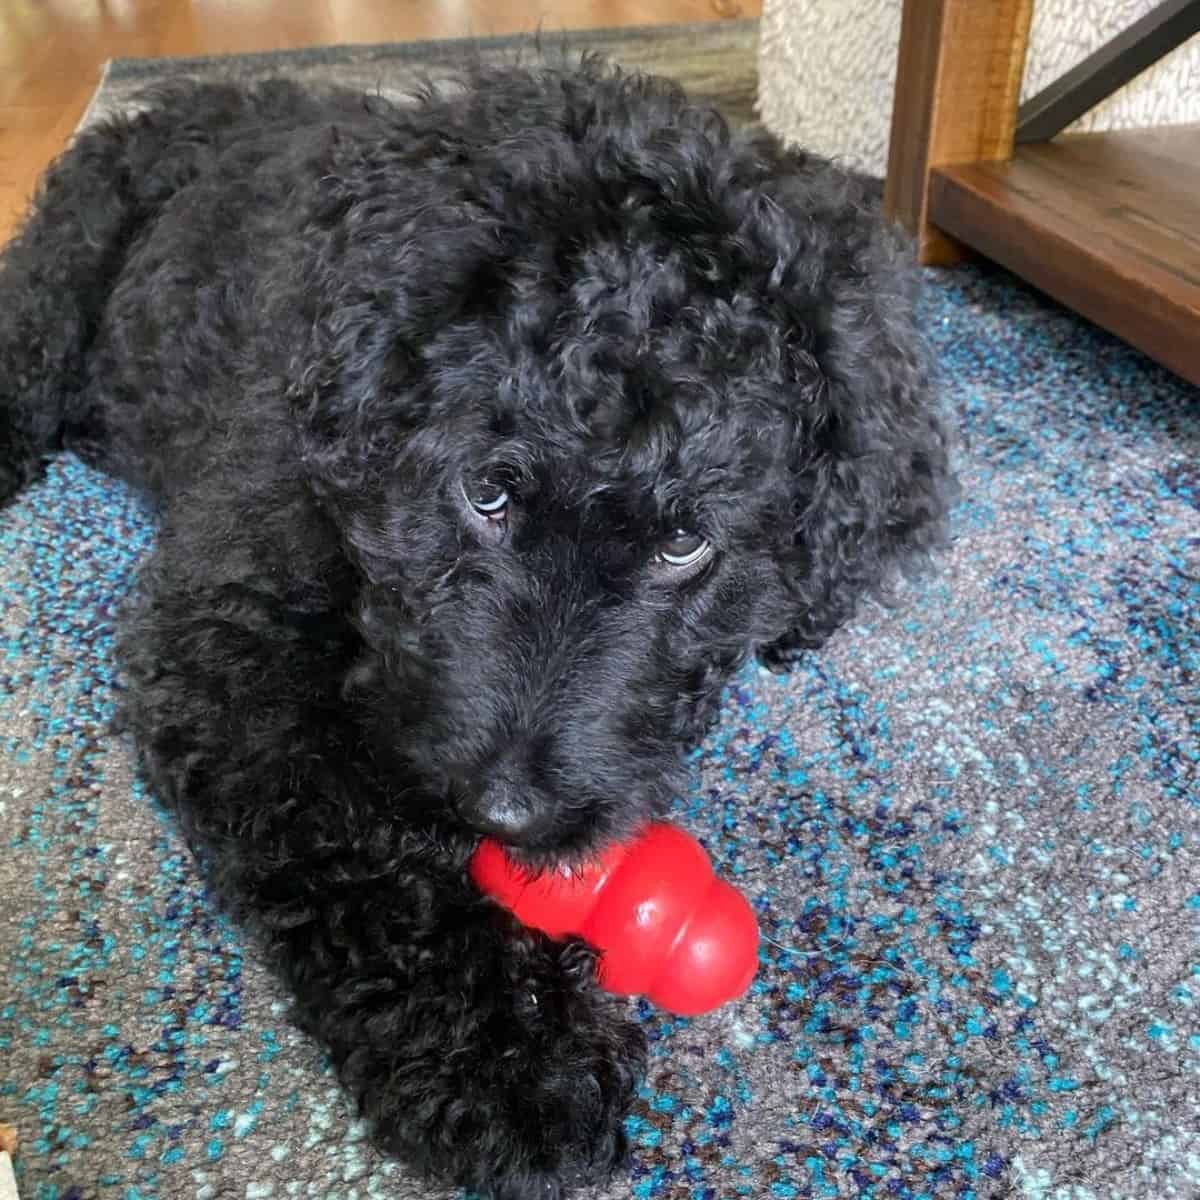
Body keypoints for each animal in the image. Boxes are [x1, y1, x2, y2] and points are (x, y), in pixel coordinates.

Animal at [2, 63, 955, 1200]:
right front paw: (508, 1061)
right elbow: (345, 845)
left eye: (687, 544)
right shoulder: (222, 639)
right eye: (484, 492)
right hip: (63, 263)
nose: (501, 811)